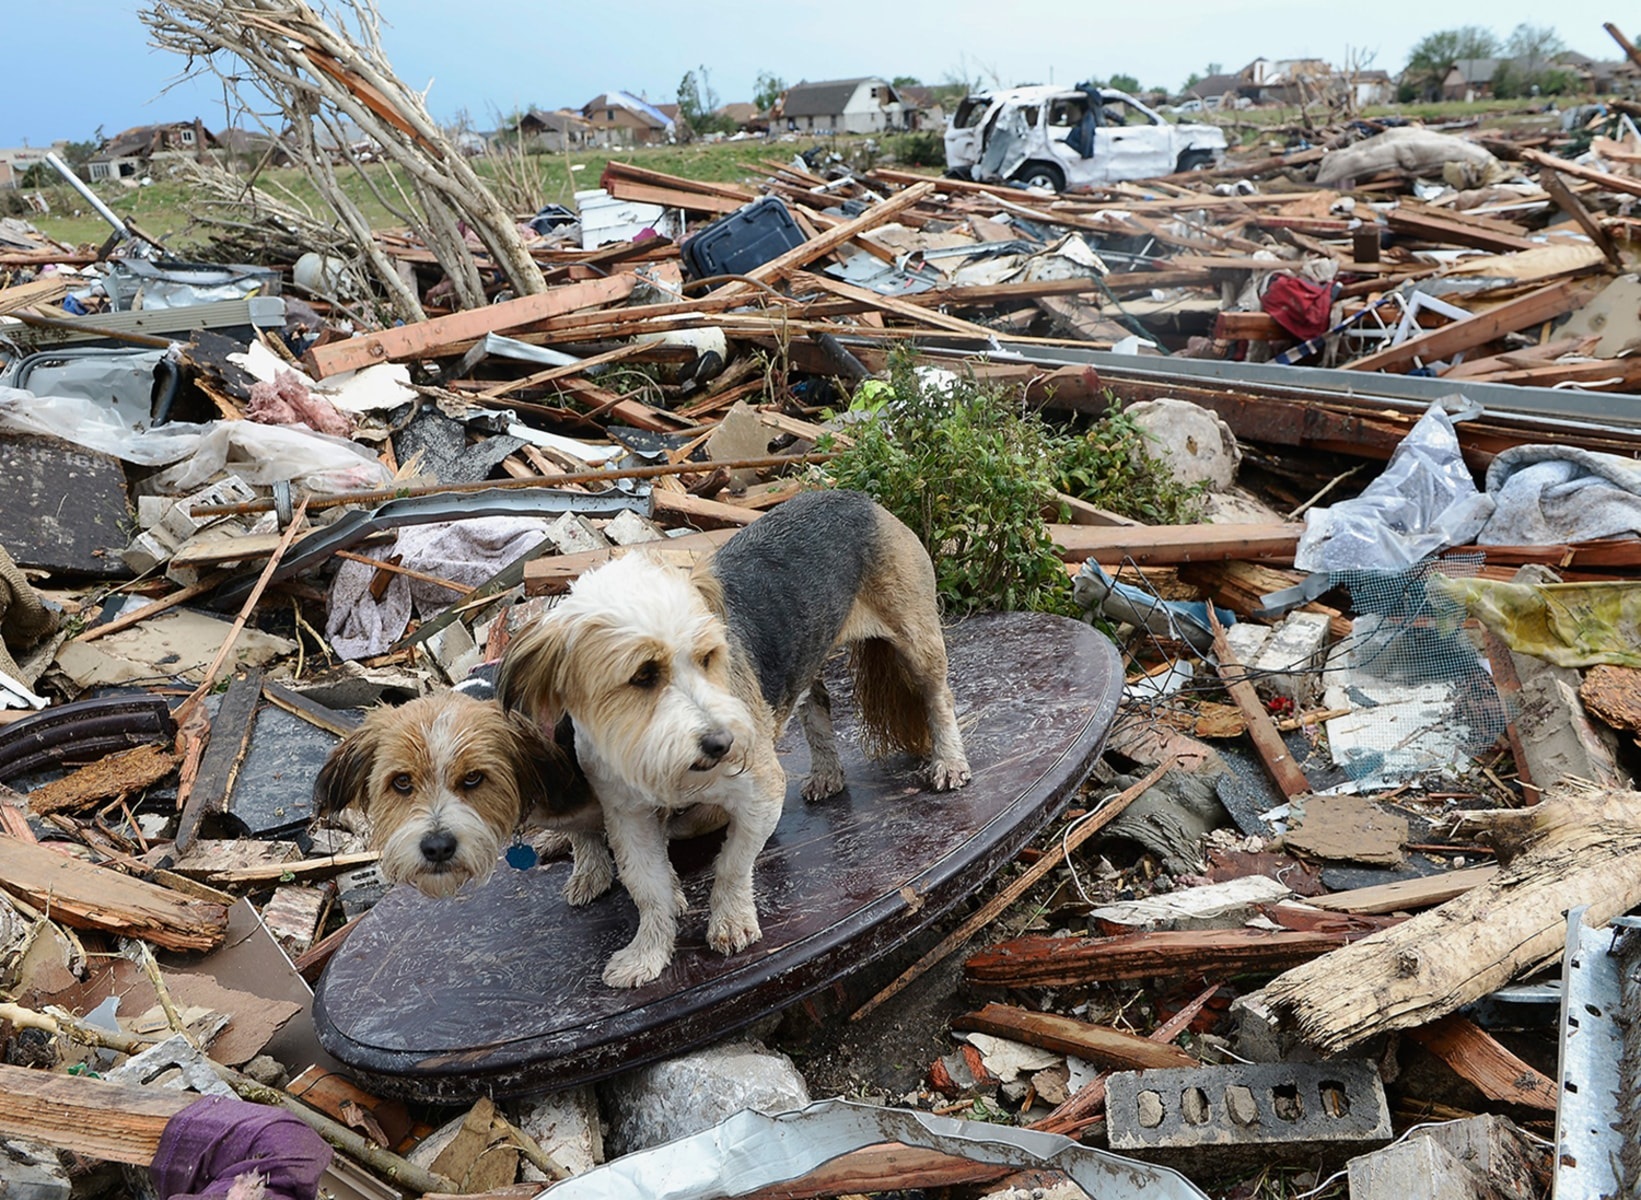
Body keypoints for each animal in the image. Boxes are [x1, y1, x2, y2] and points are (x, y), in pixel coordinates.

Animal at [492, 485, 964, 984]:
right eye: (642, 676)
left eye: (707, 658)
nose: (724, 744)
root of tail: (854, 496)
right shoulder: (628, 817)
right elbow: (648, 888)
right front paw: (647, 952)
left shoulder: (760, 793)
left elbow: (732, 865)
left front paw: (731, 922)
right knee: (816, 703)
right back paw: (827, 772)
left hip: (917, 639)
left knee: (939, 697)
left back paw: (950, 761)